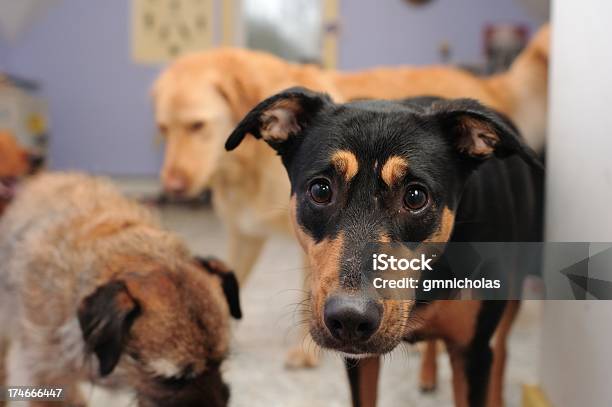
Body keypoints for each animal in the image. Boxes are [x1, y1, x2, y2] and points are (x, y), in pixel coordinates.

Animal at [227, 87, 544, 406]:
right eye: (320, 190)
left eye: (416, 197)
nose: (349, 318)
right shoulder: (358, 357)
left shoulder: (472, 352)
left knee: (502, 349)